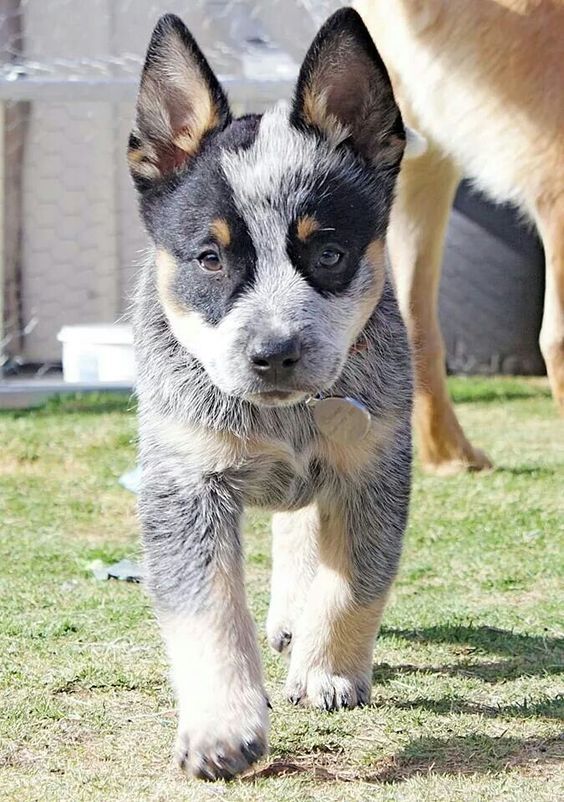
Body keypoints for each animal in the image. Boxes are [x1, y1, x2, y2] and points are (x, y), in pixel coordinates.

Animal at [129, 6, 414, 780]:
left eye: (329, 253)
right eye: (209, 258)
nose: (274, 352)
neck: (284, 422)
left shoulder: (373, 468)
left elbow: (354, 581)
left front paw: (328, 672)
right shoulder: (184, 482)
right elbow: (207, 611)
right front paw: (222, 725)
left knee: (302, 531)